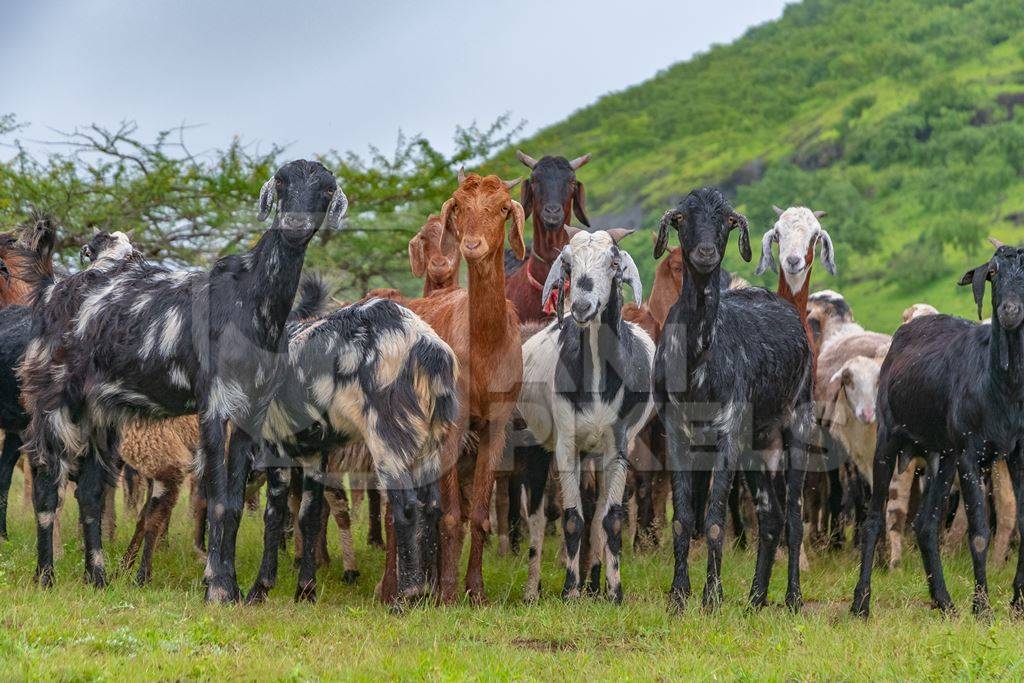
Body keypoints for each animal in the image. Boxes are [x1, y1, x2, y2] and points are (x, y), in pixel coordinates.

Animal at [18, 157, 346, 602]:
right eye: (281, 182)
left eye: (327, 188)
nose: (295, 224)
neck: (246, 300)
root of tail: (52, 288)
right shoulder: (215, 404)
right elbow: (218, 497)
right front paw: (218, 589)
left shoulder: (252, 409)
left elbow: (234, 501)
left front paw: (233, 588)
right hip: (52, 399)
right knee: (47, 485)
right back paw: (46, 577)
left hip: (100, 411)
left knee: (89, 492)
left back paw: (97, 577)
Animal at [520, 227, 655, 602]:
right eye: (567, 262)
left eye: (613, 262)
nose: (581, 306)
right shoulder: (566, 445)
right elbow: (571, 519)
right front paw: (569, 591)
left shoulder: (617, 446)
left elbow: (610, 519)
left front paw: (615, 591)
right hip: (535, 446)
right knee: (536, 518)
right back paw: (533, 590)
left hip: (593, 453)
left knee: (595, 512)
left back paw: (593, 583)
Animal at [655, 188, 815, 614]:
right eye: (682, 217)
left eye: (726, 220)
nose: (706, 253)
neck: (698, 357)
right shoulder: (676, 431)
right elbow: (682, 518)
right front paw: (678, 595)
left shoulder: (727, 430)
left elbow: (713, 519)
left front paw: (712, 597)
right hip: (755, 442)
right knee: (770, 515)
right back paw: (757, 597)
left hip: (799, 421)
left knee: (794, 517)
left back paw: (792, 598)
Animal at [851, 240, 1024, 618]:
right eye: (992, 273)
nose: (1010, 310)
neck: (1001, 387)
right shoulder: (971, 453)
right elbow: (978, 533)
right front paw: (982, 608)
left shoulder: (1018, 454)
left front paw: (1018, 602)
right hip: (889, 439)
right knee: (874, 519)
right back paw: (860, 604)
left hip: (940, 454)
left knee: (925, 524)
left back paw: (943, 601)